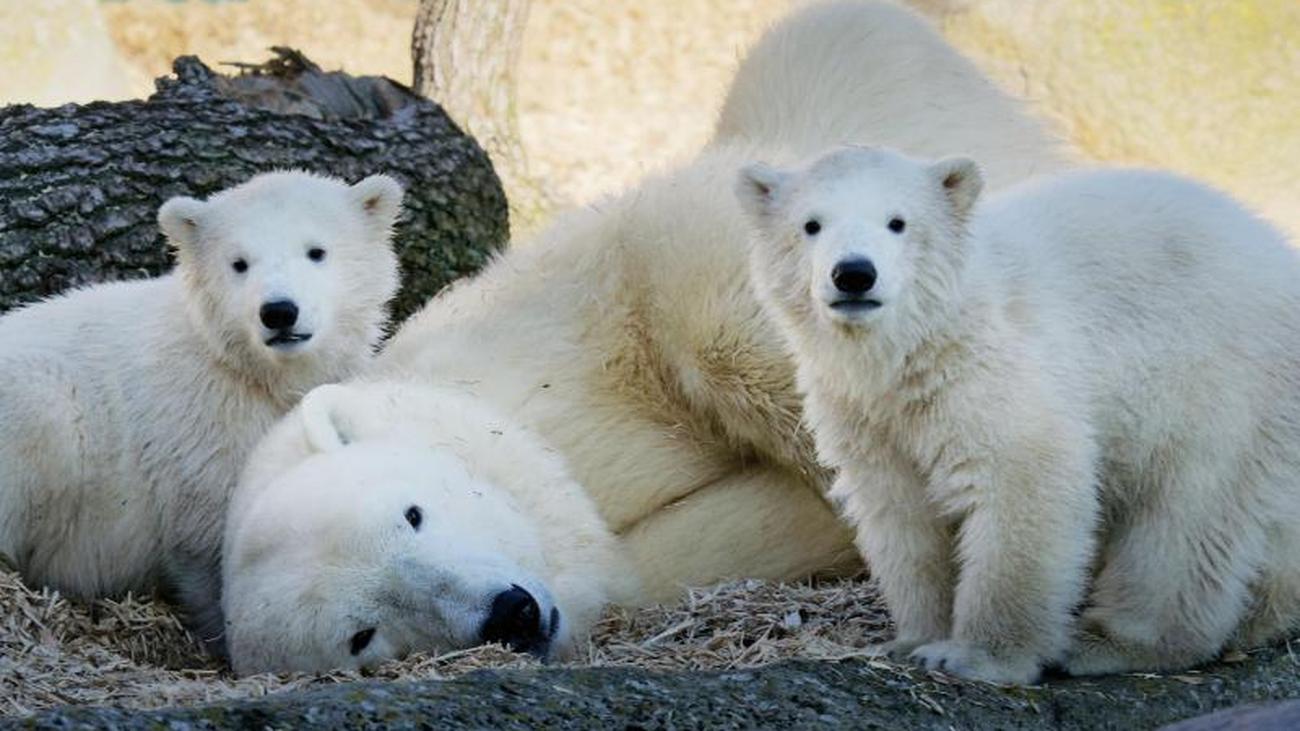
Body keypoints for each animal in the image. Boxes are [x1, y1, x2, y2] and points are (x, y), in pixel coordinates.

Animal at [0, 169, 400, 642]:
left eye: (316, 251)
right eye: (239, 263)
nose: (279, 312)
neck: (251, 370)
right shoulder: (200, 431)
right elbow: (214, 543)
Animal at [738, 143, 1300, 681]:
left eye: (898, 221)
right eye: (811, 224)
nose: (854, 273)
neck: (918, 345)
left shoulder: (993, 369)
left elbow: (1022, 483)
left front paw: (976, 656)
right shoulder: (867, 413)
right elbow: (902, 514)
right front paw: (914, 639)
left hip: (1220, 385)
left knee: (1185, 522)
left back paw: (1111, 642)